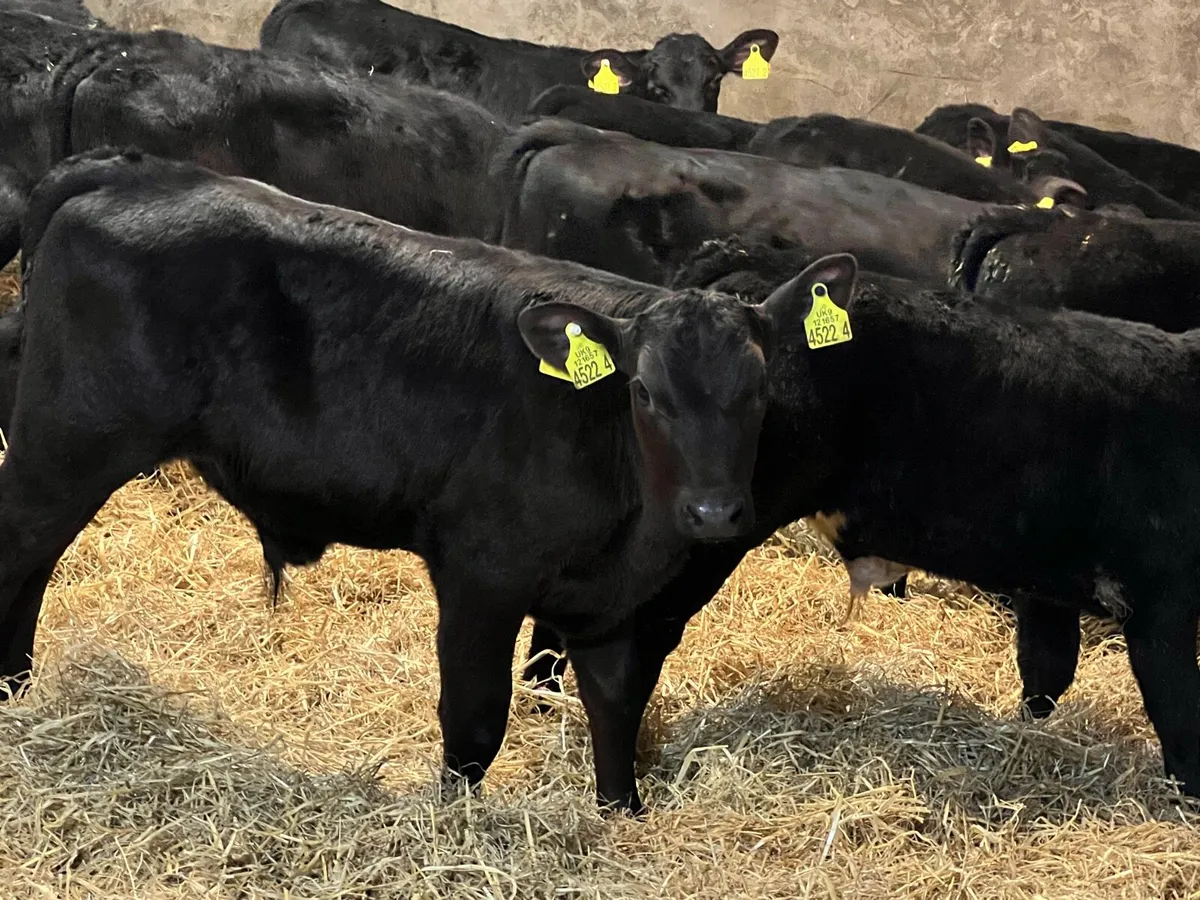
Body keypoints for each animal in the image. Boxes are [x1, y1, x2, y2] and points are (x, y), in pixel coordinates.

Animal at [0, 147, 825, 815]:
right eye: (646, 392)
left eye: (760, 389)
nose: (714, 512)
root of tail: (137, 169)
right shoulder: (482, 576)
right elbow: (475, 719)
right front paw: (455, 825)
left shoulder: (615, 608)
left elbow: (616, 713)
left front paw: (621, 815)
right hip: (69, 443)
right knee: (23, 552)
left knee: (35, 565)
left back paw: (16, 688)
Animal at [535, 251, 1200, 800]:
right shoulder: (1162, 600)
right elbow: (1178, 716)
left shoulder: (1049, 584)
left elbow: (1045, 674)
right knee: (619, 656)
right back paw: (620, 800)